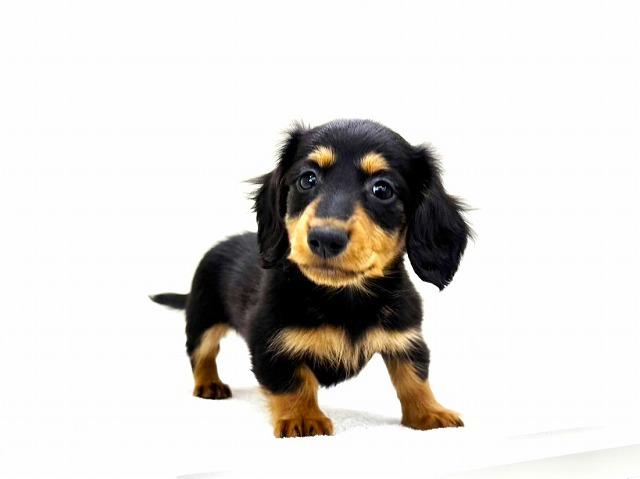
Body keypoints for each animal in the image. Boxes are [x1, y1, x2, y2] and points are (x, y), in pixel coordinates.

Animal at [150, 119, 471, 438]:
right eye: (308, 179)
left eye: (382, 189)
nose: (325, 239)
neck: (343, 296)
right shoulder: (271, 342)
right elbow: (295, 380)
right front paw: (303, 417)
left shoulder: (407, 338)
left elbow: (414, 377)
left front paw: (429, 412)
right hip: (203, 318)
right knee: (202, 353)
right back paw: (209, 384)